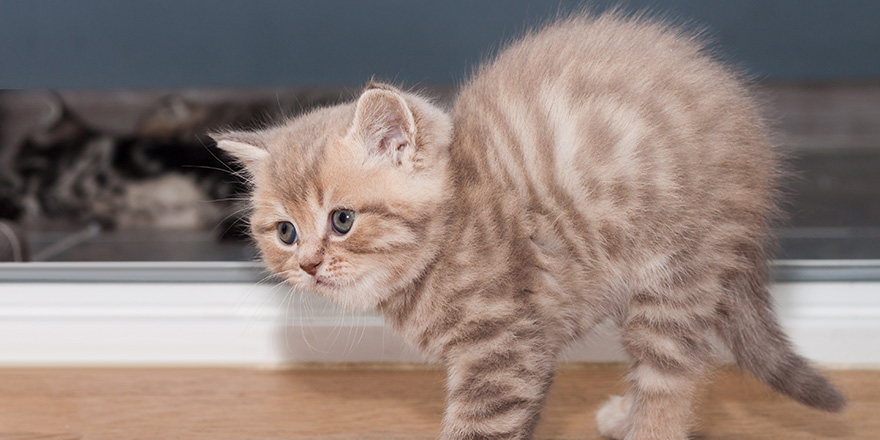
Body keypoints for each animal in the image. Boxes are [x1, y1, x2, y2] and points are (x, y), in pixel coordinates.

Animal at [211, 12, 844, 440]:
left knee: (672, 379)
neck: (447, 237)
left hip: (675, 270)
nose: (309, 264)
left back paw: (645, 422)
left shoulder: (503, 347)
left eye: (341, 220)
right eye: (286, 233)